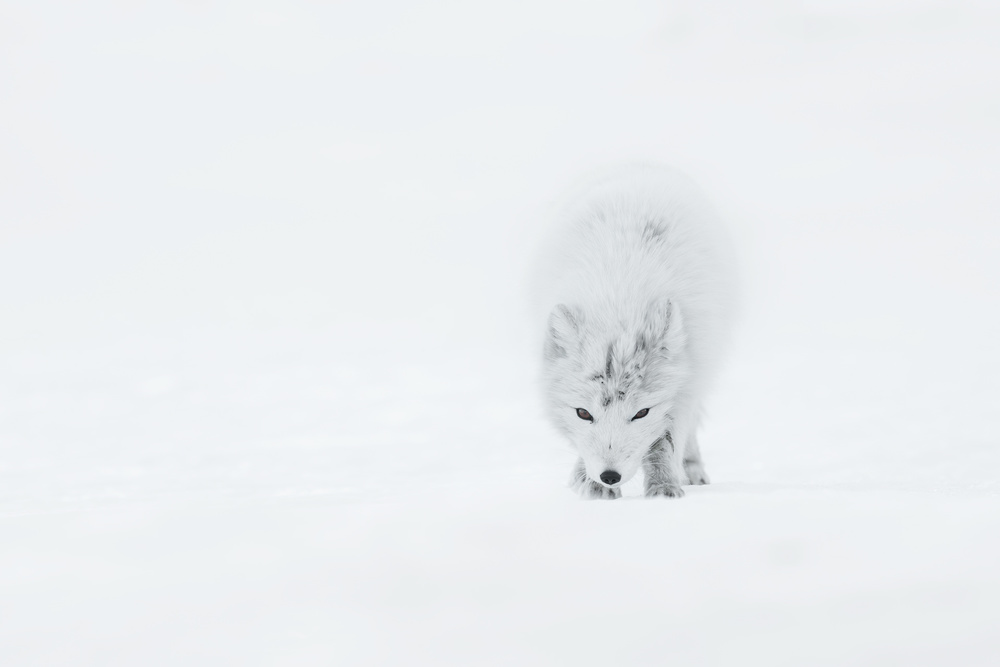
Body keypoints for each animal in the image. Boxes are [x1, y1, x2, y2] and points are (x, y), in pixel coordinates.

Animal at [534, 164, 736, 499]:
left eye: (641, 413)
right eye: (583, 413)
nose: (609, 476)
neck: (618, 301)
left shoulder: (684, 389)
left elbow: (665, 441)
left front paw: (664, 486)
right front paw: (588, 482)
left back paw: (692, 470)